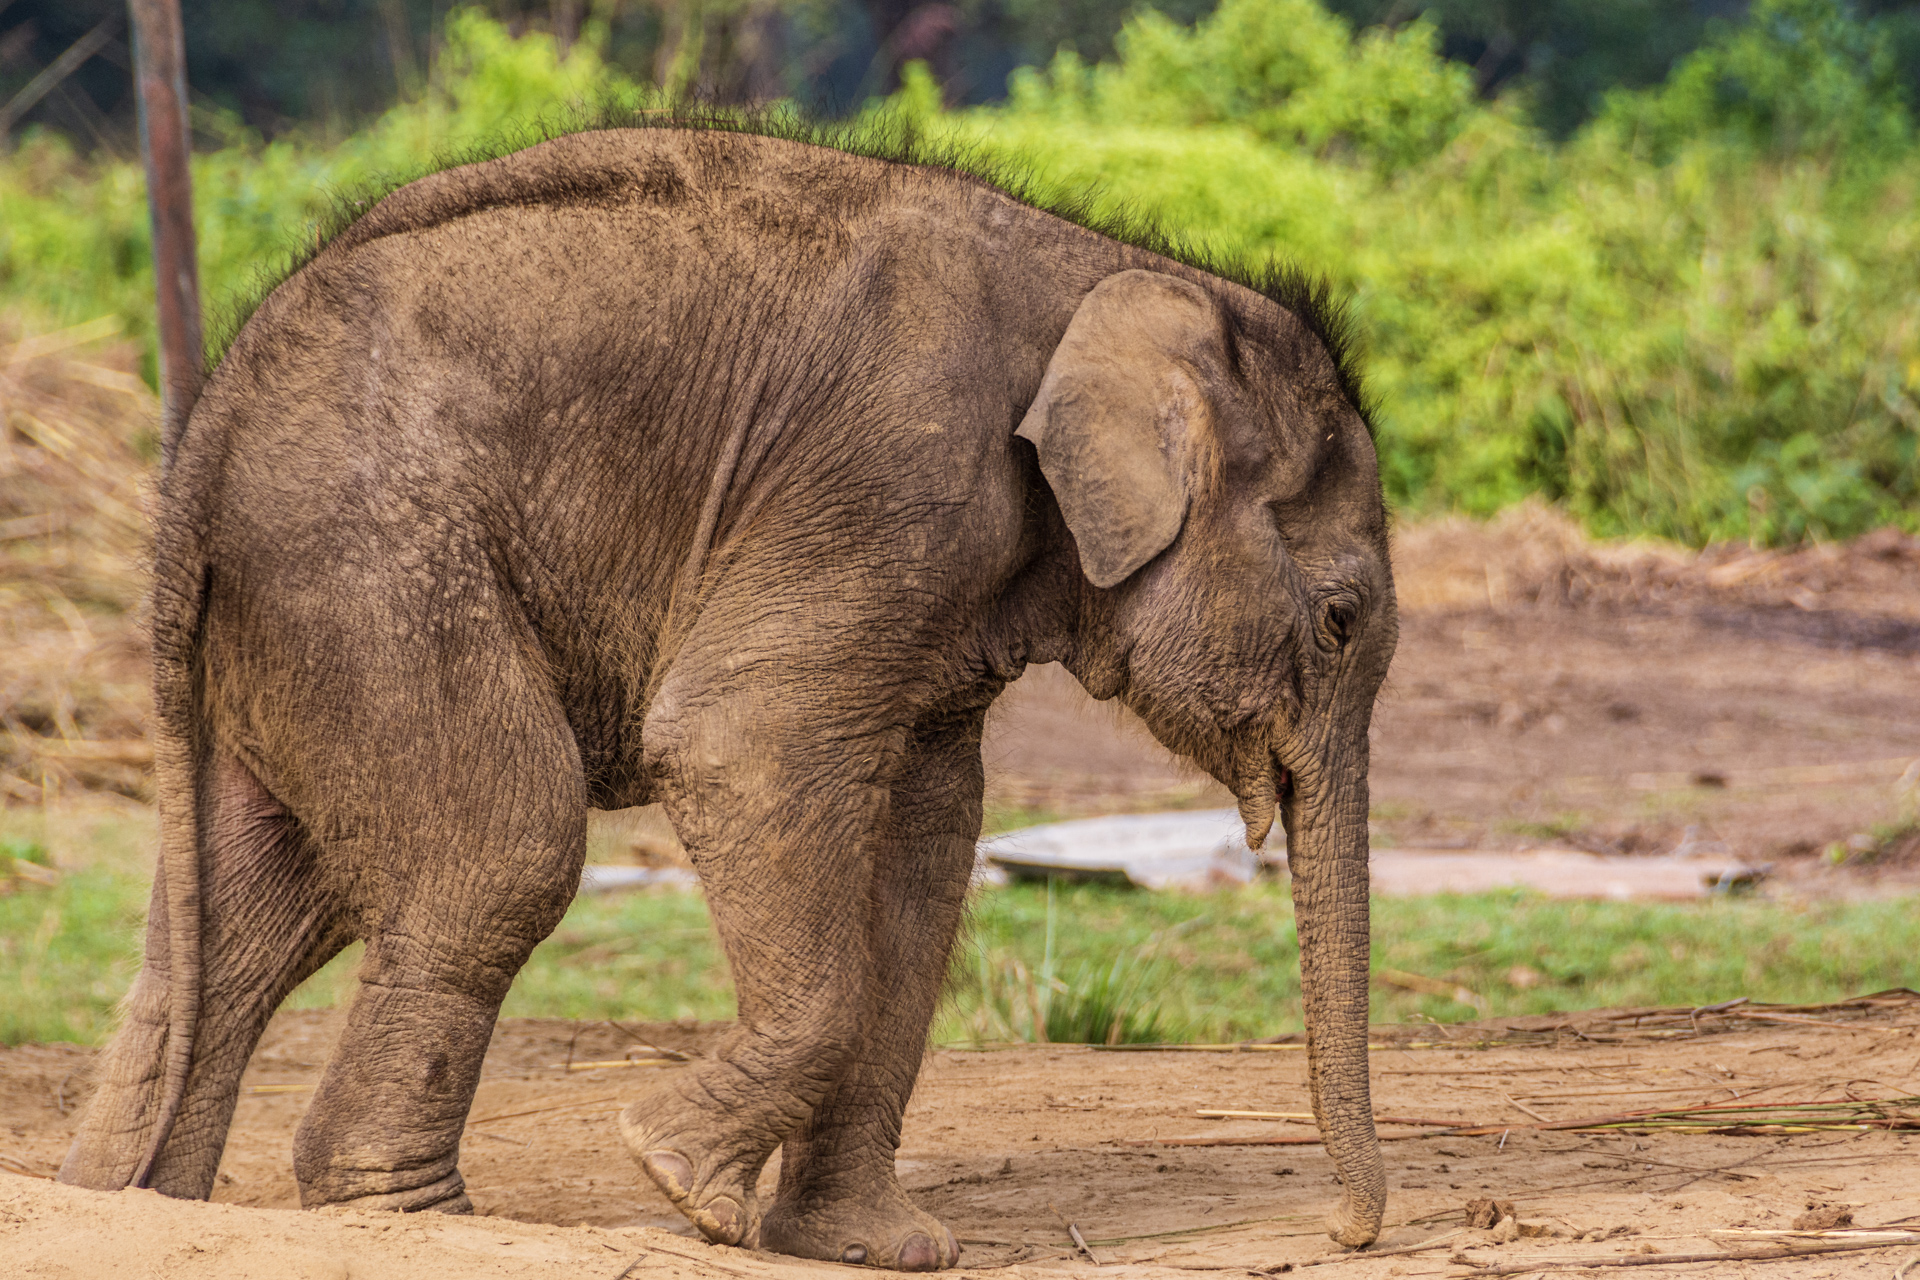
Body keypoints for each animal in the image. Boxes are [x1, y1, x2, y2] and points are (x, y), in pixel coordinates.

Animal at [59, 123, 1397, 1266]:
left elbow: (926, 847)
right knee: (500, 852)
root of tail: (204, 433)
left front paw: (869, 1245)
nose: (1340, 1230)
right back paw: (419, 1218)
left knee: (242, 921)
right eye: (1341, 620)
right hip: (370, 565)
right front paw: (678, 1183)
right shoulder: (890, 477)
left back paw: (127, 1199)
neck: (1127, 271)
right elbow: (735, 741)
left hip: (290, 621)